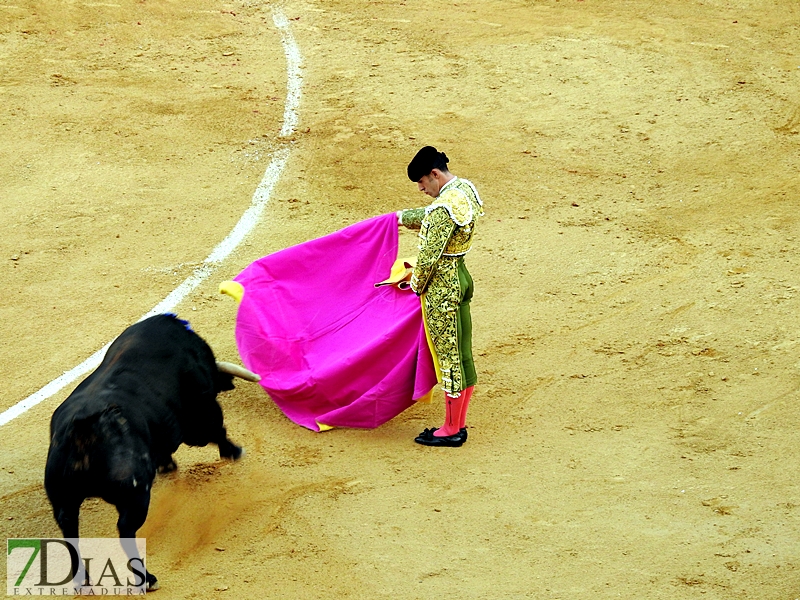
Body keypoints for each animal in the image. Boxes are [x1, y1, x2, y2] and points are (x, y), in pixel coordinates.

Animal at [43, 314, 258, 592]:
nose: (229, 384)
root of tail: (83, 429)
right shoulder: (202, 412)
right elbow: (217, 430)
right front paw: (234, 451)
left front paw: (167, 465)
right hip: (135, 495)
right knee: (125, 530)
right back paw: (147, 578)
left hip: (64, 502)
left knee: (71, 534)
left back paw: (83, 581)